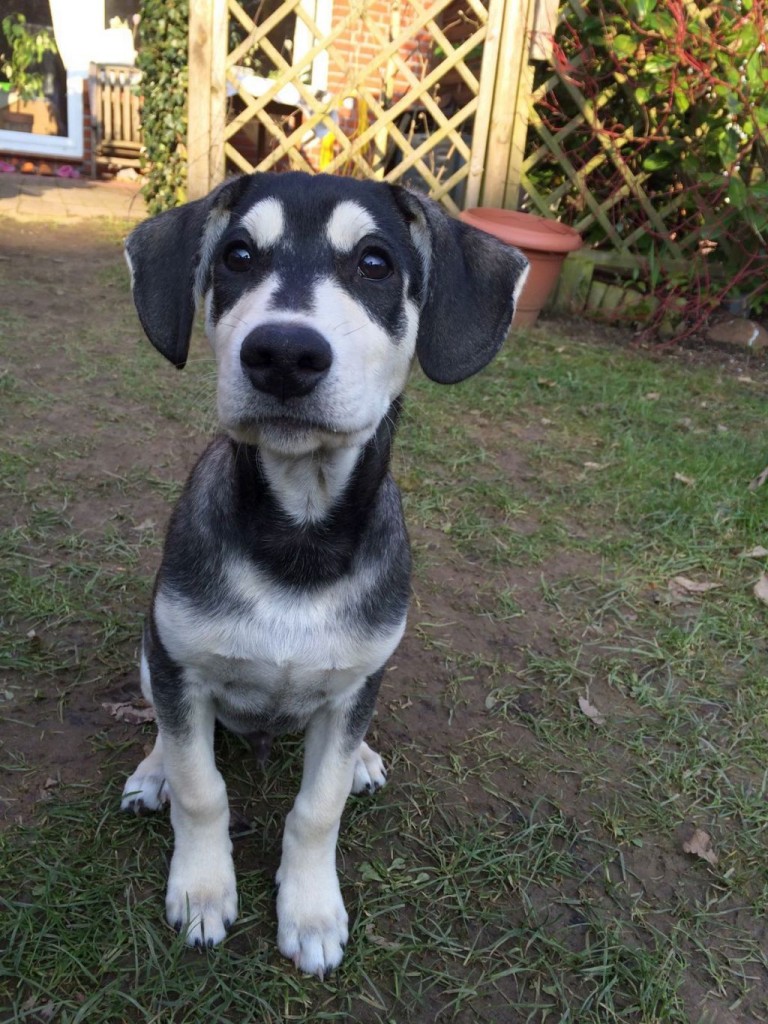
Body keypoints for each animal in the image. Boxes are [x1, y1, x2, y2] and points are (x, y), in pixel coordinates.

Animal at [120, 171, 528, 977]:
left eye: (375, 263)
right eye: (238, 256)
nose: (282, 352)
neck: (299, 539)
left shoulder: (354, 684)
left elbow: (318, 808)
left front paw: (309, 910)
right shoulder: (179, 663)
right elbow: (201, 786)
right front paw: (204, 889)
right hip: (152, 652)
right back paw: (153, 770)